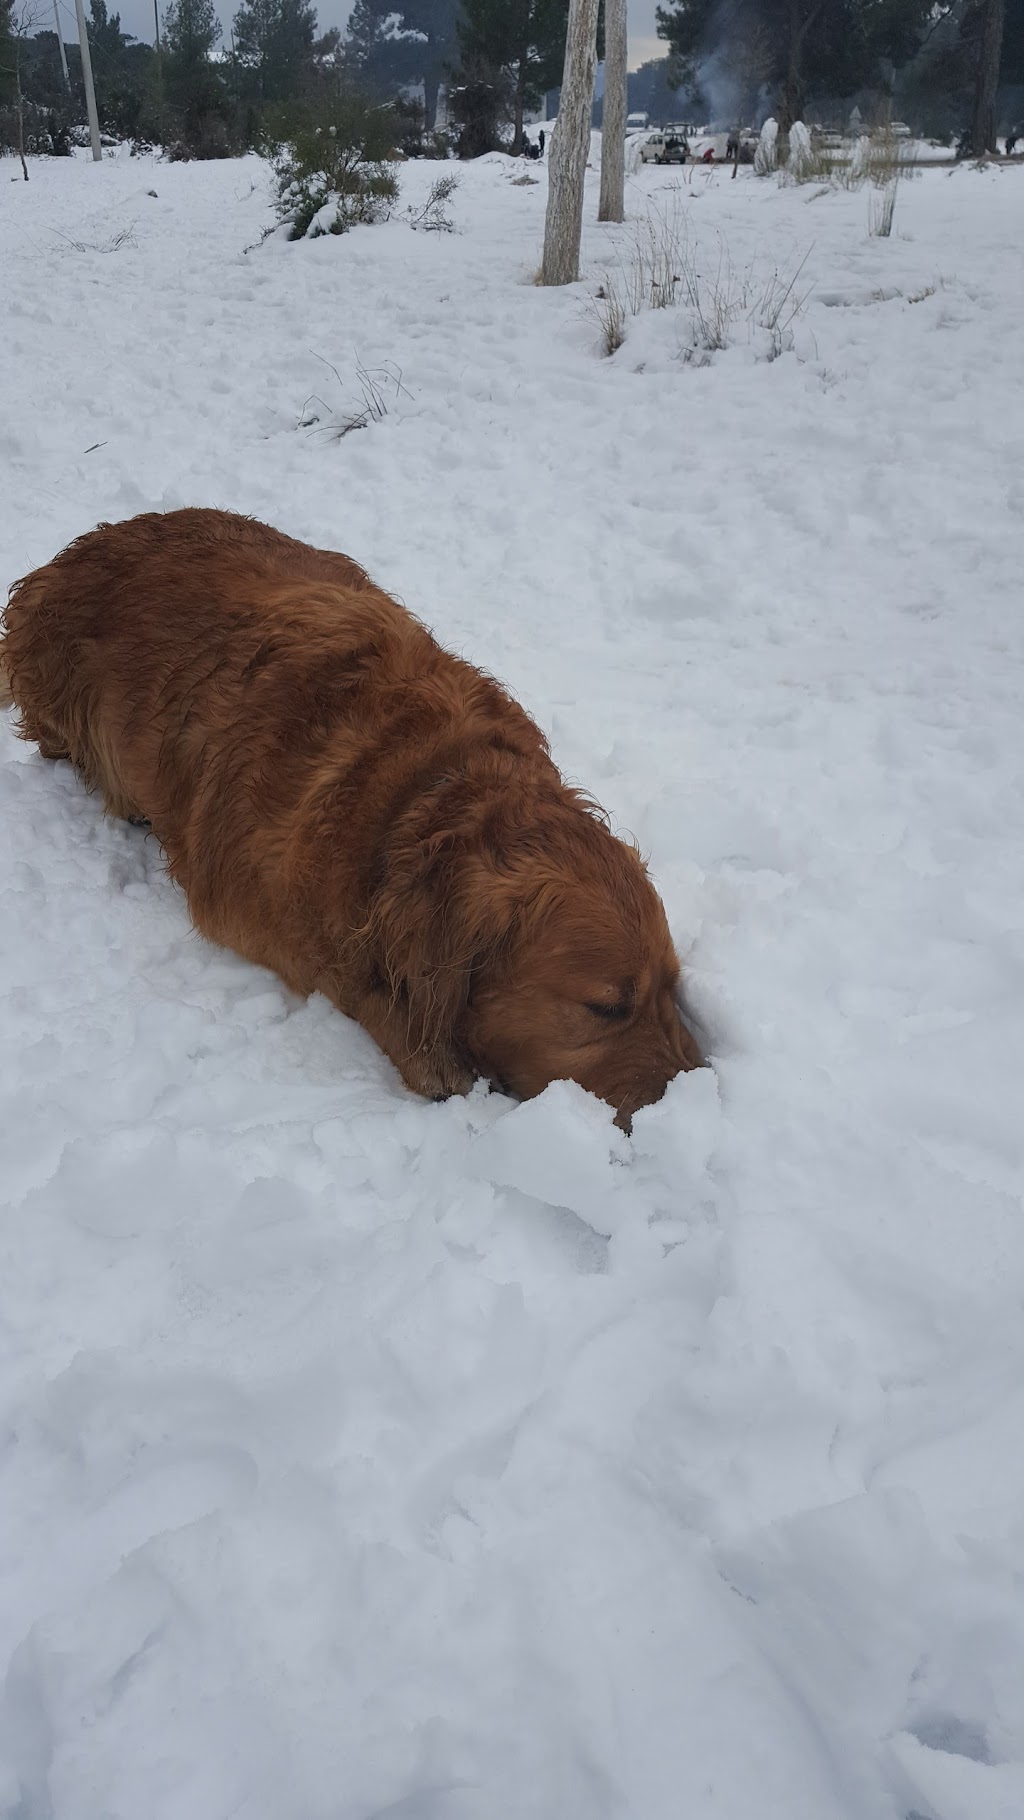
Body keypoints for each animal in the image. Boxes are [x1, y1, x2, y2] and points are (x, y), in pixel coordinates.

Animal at [1, 510, 701, 1126]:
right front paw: (429, 1054)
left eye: (674, 988)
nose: (695, 1103)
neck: (425, 795)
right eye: (607, 1007)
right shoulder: (248, 903)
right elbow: (351, 981)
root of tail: (63, 559)